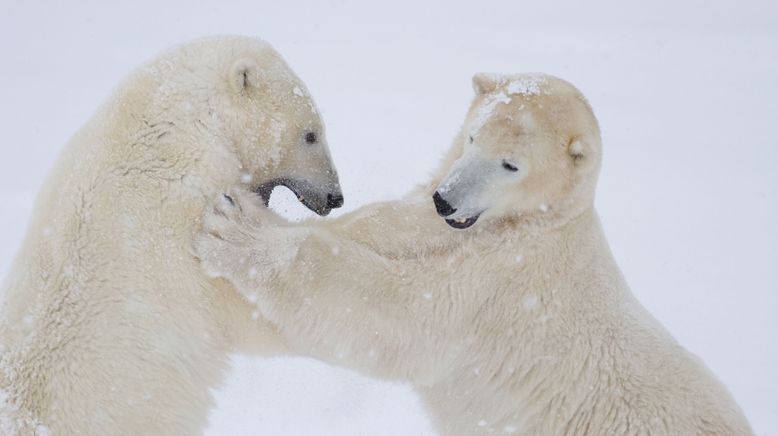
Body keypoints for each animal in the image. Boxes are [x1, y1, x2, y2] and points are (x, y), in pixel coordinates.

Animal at [196, 75, 752, 436]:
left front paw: (236, 231)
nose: (447, 200)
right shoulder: (434, 225)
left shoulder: (505, 286)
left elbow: (400, 317)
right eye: (471, 136)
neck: (535, 224)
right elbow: (381, 225)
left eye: (510, 164)